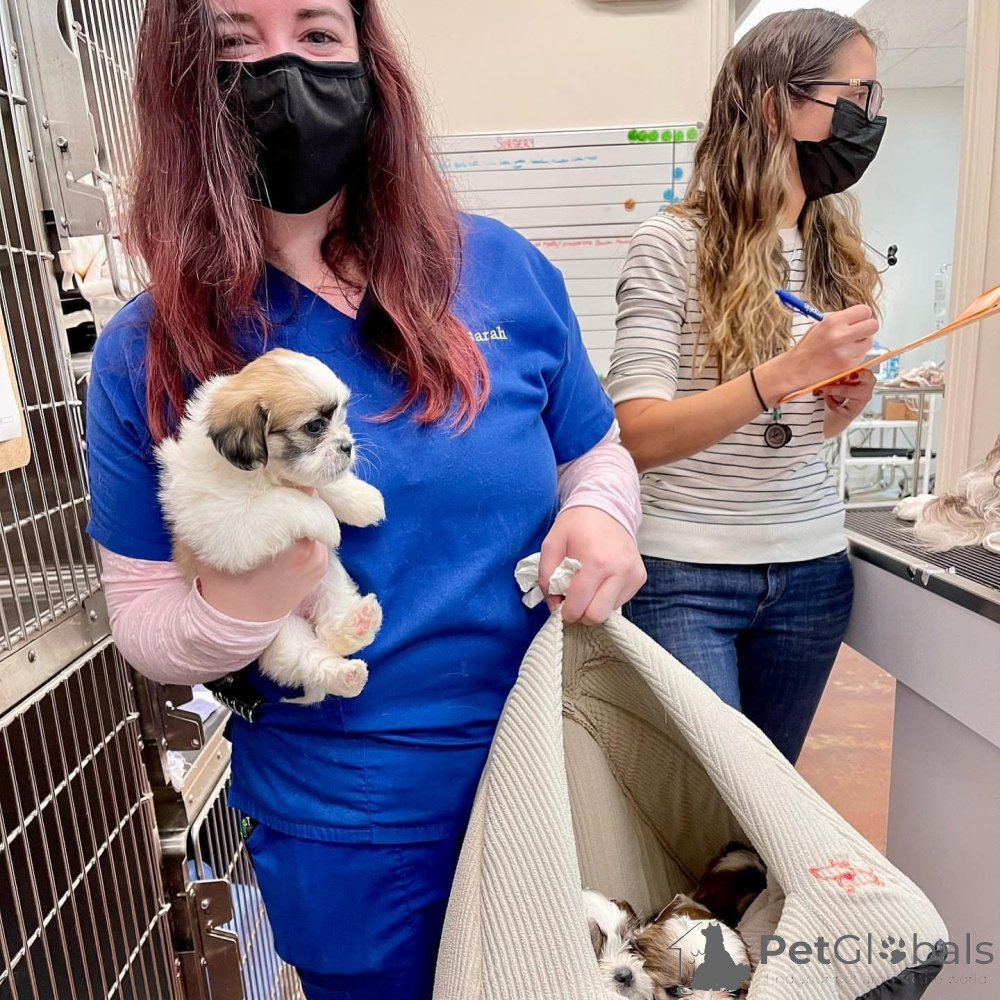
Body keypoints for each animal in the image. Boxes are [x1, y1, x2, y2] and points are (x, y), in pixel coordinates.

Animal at [156, 348, 385, 704]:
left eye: (340, 418)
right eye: (315, 426)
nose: (347, 445)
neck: (266, 474)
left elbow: (324, 484)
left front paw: (362, 500)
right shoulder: (232, 523)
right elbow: (286, 503)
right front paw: (327, 522)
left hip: (332, 583)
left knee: (331, 630)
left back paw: (359, 623)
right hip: (279, 634)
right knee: (309, 657)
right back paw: (347, 675)